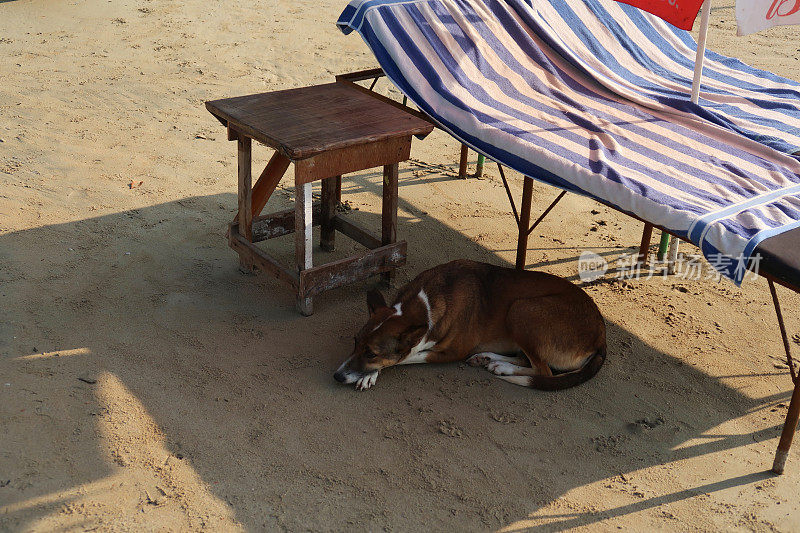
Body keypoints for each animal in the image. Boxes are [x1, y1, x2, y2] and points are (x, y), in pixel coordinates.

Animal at [332, 258, 608, 388]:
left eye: (371, 353)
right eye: (355, 343)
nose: (336, 376)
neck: (425, 303)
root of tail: (602, 333)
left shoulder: (451, 352)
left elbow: (404, 357)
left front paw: (369, 373)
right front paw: (369, 375)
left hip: (522, 309)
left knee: (544, 370)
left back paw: (503, 368)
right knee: (526, 359)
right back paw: (490, 359)